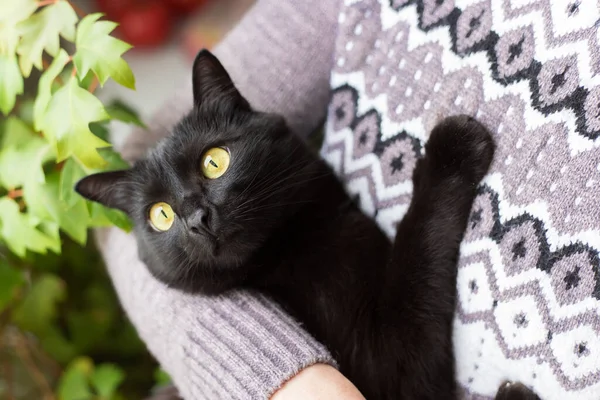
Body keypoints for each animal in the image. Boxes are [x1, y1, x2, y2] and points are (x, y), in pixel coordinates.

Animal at [77, 50, 540, 400]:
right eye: (160, 215)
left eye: (215, 161)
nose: (195, 218)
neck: (290, 256)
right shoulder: (398, 363)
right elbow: (418, 243)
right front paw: (453, 147)